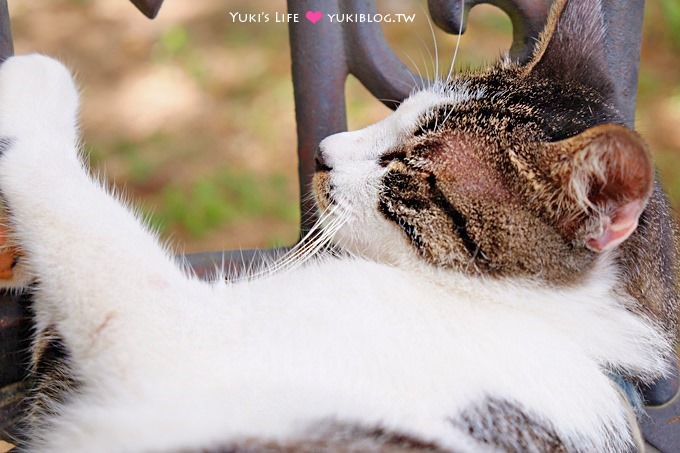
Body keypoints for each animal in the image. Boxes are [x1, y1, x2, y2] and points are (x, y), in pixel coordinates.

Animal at [0, 0, 676, 450]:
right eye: (393, 113)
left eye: (406, 167)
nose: (322, 151)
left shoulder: (170, 338)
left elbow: (86, 223)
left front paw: (34, 85)